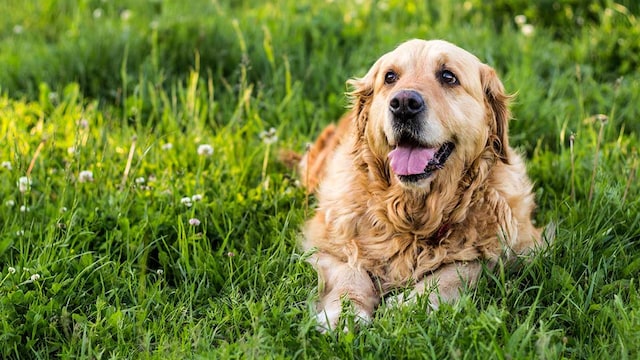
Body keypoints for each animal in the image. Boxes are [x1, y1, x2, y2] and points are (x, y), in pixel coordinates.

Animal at [294, 39, 544, 332]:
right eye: (390, 76)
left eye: (448, 76)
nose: (403, 103)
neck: (414, 215)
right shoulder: (324, 242)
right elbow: (349, 269)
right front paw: (346, 311)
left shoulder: (519, 248)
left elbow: (459, 270)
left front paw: (409, 306)